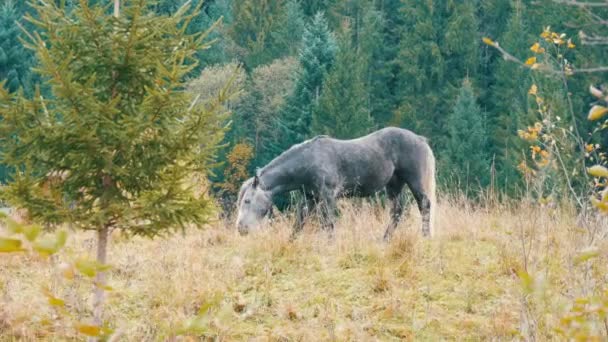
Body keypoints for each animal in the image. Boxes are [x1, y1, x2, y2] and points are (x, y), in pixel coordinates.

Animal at [234, 126, 436, 240]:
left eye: (247, 201)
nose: (241, 228)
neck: (309, 160)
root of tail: (419, 139)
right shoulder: (309, 198)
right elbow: (299, 223)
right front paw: (290, 243)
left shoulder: (328, 196)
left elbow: (328, 223)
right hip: (394, 186)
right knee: (396, 212)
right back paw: (385, 239)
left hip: (414, 181)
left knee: (424, 205)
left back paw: (425, 237)